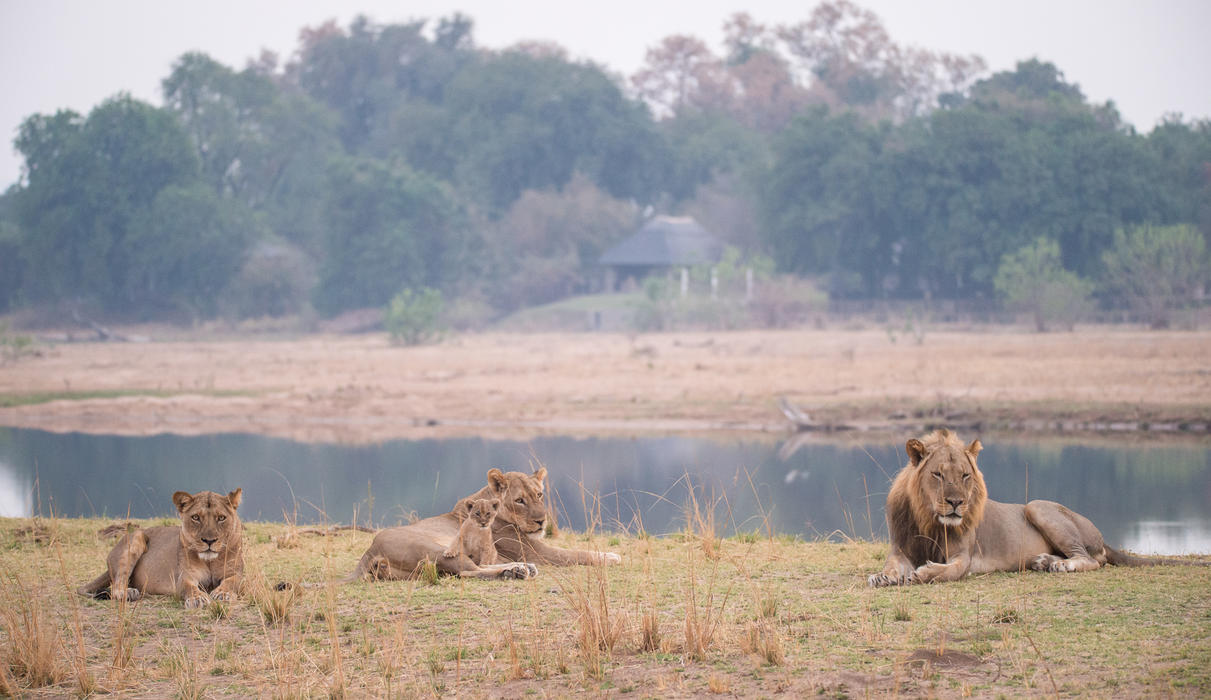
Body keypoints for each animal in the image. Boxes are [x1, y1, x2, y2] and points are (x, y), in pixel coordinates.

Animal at [78, 484, 245, 605]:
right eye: (196, 517)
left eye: (221, 518)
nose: (209, 541)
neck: (210, 561)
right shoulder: (185, 576)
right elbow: (190, 588)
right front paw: (197, 599)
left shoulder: (237, 574)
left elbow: (232, 582)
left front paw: (223, 593)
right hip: (136, 536)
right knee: (118, 582)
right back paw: (128, 592)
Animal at [343, 465, 624, 581]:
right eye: (519, 500)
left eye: (539, 495)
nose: (541, 522)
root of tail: (371, 549)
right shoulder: (538, 552)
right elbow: (577, 553)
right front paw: (610, 556)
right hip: (436, 548)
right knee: (468, 571)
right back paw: (517, 571)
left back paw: (521, 569)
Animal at [871, 428, 1201, 586]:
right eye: (938, 474)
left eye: (965, 475)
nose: (956, 503)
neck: (929, 520)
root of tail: (1102, 537)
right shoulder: (899, 549)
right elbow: (890, 566)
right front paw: (884, 577)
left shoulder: (964, 557)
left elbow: (948, 571)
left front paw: (923, 573)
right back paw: (1043, 561)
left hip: (1037, 507)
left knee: (1091, 560)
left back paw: (1059, 564)